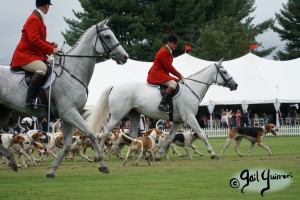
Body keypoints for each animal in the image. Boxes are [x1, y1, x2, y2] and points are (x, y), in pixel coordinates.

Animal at [0, 18, 127, 177]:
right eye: (108, 36)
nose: (125, 56)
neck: (72, 73)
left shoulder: (68, 116)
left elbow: (66, 145)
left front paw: (52, 170)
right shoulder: (69, 112)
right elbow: (91, 133)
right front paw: (102, 163)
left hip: (4, 112)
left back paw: (11, 161)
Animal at [85, 59, 238, 172]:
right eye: (224, 71)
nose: (235, 85)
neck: (190, 90)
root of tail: (115, 86)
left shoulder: (177, 121)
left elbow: (169, 138)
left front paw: (158, 155)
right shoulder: (189, 117)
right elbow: (202, 133)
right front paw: (213, 153)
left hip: (134, 115)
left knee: (133, 135)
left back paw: (137, 155)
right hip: (117, 115)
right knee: (105, 132)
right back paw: (99, 156)